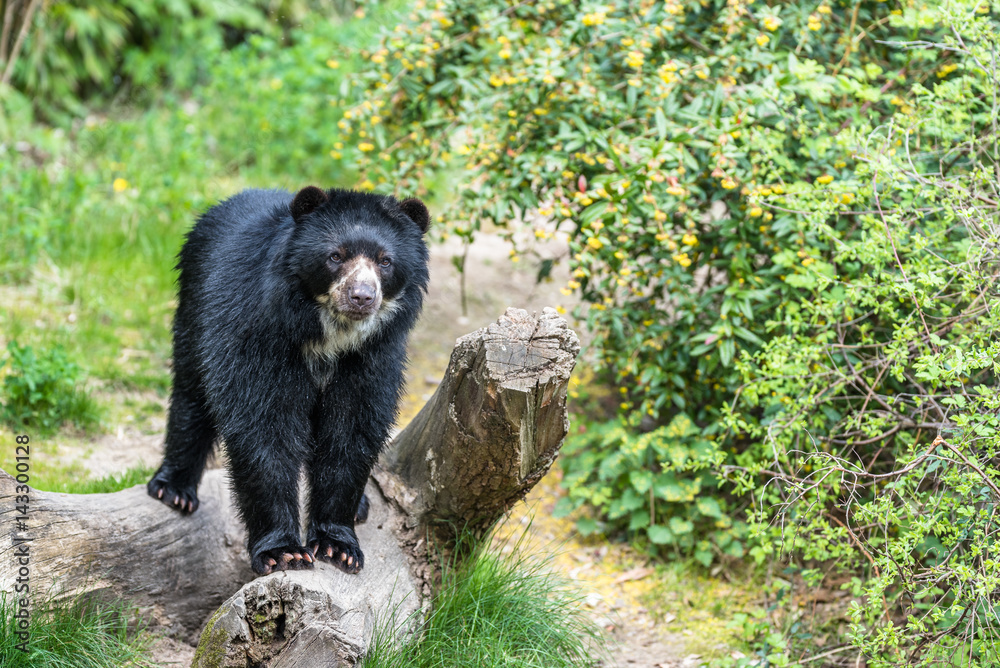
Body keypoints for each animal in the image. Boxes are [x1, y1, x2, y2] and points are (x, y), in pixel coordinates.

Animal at [147, 186, 430, 576]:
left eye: (385, 261)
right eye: (335, 256)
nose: (361, 297)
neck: (330, 335)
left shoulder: (372, 356)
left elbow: (352, 432)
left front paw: (338, 547)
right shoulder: (259, 334)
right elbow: (264, 427)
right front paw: (283, 552)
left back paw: (361, 507)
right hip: (193, 305)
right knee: (191, 392)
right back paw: (173, 490)